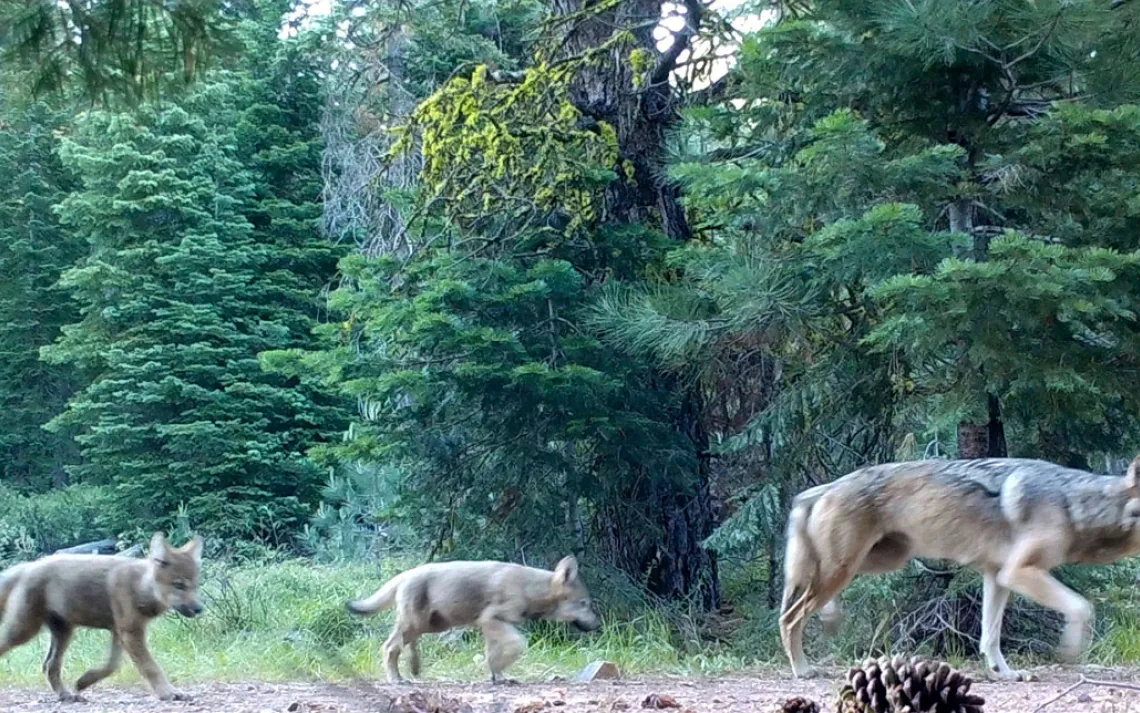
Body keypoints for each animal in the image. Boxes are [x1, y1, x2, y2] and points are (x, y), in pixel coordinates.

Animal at [0, 532, 204, 702]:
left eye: (195, 585)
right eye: (179, 585)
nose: (200, 608)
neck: (139, 586)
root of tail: (28, 566)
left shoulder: (119, 633)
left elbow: (111, 666)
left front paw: (84, 681)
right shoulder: (131, 633)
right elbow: (151, 667)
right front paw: (169, 693)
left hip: (64, 633)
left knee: (49, 666)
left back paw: (67, 696)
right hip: (24, 631)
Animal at [346, 556, 600, 683]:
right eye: (585, 604)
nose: (599, 626)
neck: (530, 589)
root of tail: (405, 574)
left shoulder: (491, 626)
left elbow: (492, 655)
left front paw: (498, 677)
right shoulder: (491, 620)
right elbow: (517, 644)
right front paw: (499, 673)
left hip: (429, 626)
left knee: (404, 646)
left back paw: (413, 670)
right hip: (417, 624)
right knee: (389, 647)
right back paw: (397, 679)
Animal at [780, 456, 1140, 681]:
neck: (1076, 505)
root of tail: (823, 489)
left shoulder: (997, 576)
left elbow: (989, 637)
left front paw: (1004, 674)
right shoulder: (1019, 571)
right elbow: (1082, 606)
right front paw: (1070, 649)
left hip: (878, 562)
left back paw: (830, 618)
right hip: (845, 568)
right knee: (790, 618)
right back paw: (802, 669)